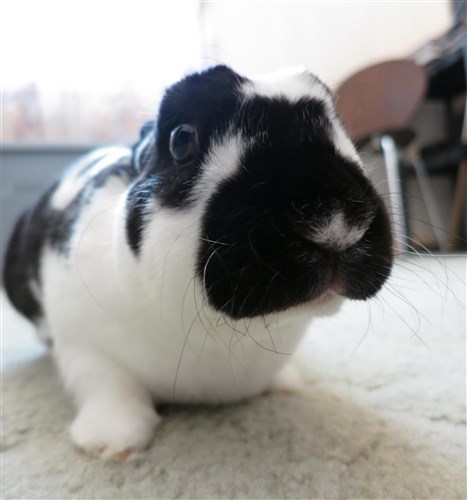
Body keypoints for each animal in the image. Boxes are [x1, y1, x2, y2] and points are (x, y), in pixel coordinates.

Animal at [3, 65, 393, 459]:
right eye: (181, 140)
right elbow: (106, 382)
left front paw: (286, 384)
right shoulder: (84, 344)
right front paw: (112, 443)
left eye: (339, 124)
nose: (336, 224)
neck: (225, 334)